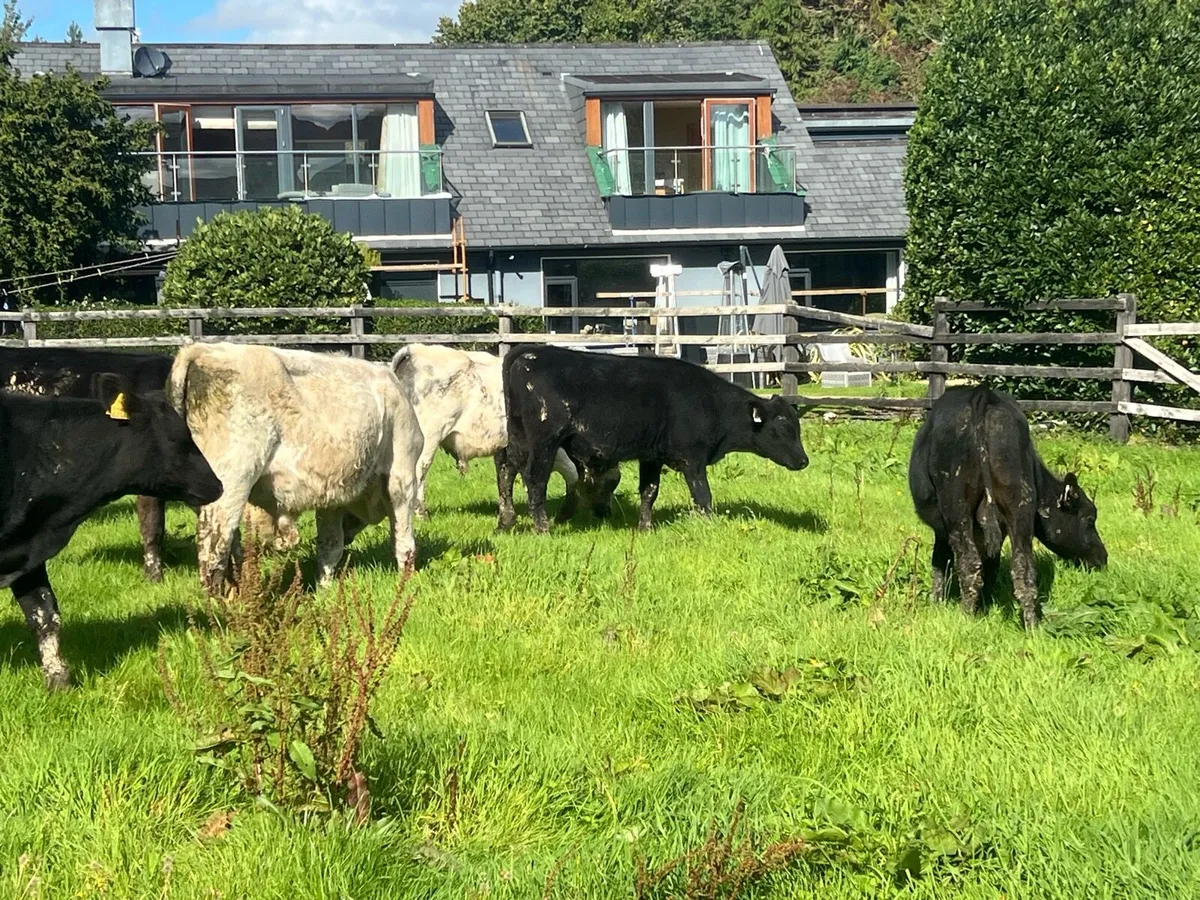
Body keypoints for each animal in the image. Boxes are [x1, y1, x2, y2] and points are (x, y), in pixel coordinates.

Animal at [167, 343, 423, 594]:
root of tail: (202, 349)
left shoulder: (331, 496)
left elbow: (330, 545)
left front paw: (324, 589)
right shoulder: (402, 474)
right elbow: (404, 538)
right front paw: (407, 581)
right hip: (229, 485)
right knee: (214, 550)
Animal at [390, 344, 620, 527]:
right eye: (613, 482)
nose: (606, 513)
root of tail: (414, 350)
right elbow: (571, 473)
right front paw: (564, 512)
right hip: (428, 438)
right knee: (419, 472)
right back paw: (421, 514)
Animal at [501, 345, 809, 533]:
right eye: (782, 429)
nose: (804, 461)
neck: (710, 402)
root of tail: (532, 352)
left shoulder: (652, 457)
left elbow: (649, 492)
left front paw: (645, 528)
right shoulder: (692, 459)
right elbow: (703, 496)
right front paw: (708, 526)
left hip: (518, 440)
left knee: (506, 471)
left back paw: (505, 521)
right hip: (543, 443)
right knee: (535, 481)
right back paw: (542, 528)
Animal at [908, 386, 1108, 628]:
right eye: (1090, 518)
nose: (1103, 557)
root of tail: (982, 395)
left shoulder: (941, 528)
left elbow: (941, 562)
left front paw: (939, 602)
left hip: (956, 507)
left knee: (969, 564)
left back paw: (966, 617)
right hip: (1020, 504)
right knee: (1023, 569)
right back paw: (1031, 626)